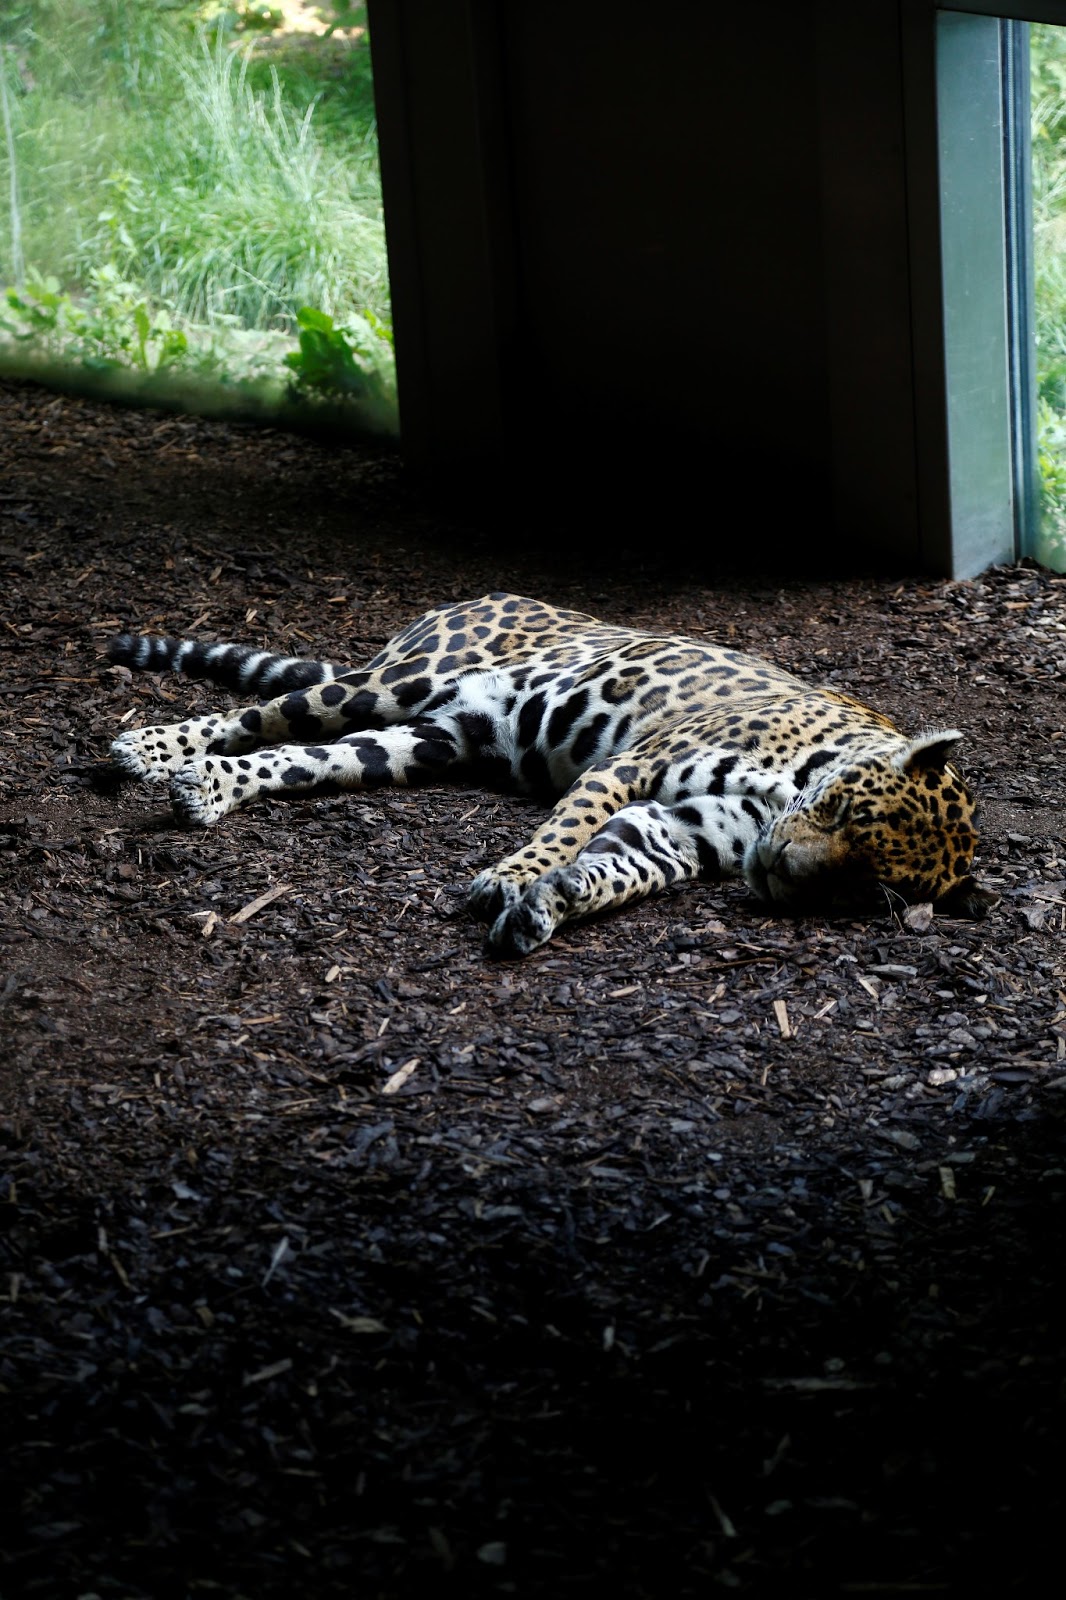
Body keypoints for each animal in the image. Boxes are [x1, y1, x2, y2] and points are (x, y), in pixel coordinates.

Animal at [107, 591, 996, 957]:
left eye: (857, 888)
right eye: (841, 812)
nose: (776, 867)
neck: (802, 768)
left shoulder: (685, 827)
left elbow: (622, 865)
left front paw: (552, 903)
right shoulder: (632, 765)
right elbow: (563, 829)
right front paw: (508, 878)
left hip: (423, 742)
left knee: (299, 757)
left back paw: (207, 790)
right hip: (387, 683)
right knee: (250, 716)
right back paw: (148, 750)